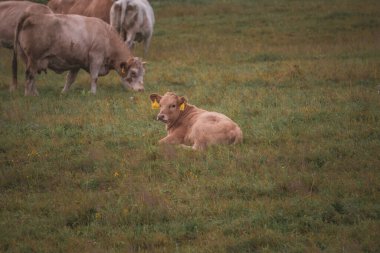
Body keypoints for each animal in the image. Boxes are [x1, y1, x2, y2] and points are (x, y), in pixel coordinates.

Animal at [12, 12, 145, 95]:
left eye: (143, 73)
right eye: (133, 72)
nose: (141, 90)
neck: (107, 37)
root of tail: (31, 16)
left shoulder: (76, 64)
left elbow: (70, 79)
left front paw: (64, 93)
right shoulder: (96, 58)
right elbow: (94, 77)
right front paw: (93, 93)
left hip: (28, 59)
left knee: (32, 76)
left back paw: (35, 93)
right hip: (33, 58)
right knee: (29, 75)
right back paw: (29, 95)